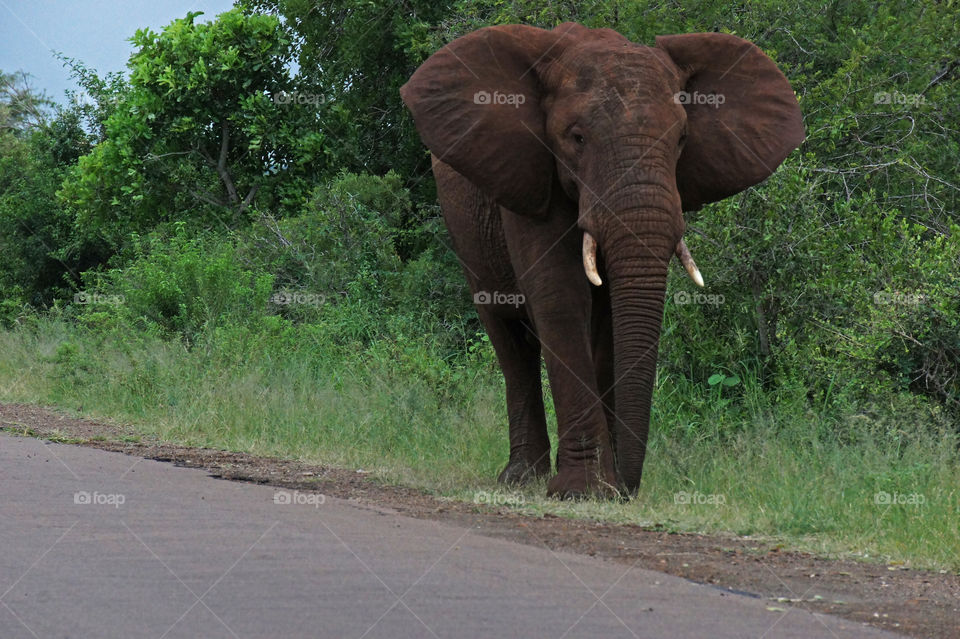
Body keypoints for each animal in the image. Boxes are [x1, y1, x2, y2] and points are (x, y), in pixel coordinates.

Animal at [398, 21, 804, 500]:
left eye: (682, 140)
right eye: (576, 138)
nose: (630, 489)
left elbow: (610, 316)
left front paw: (602, 485)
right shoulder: (532, 175)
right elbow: (559, 296)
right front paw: (584, 490)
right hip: (466, 231)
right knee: (510, 340)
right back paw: (522, 478)